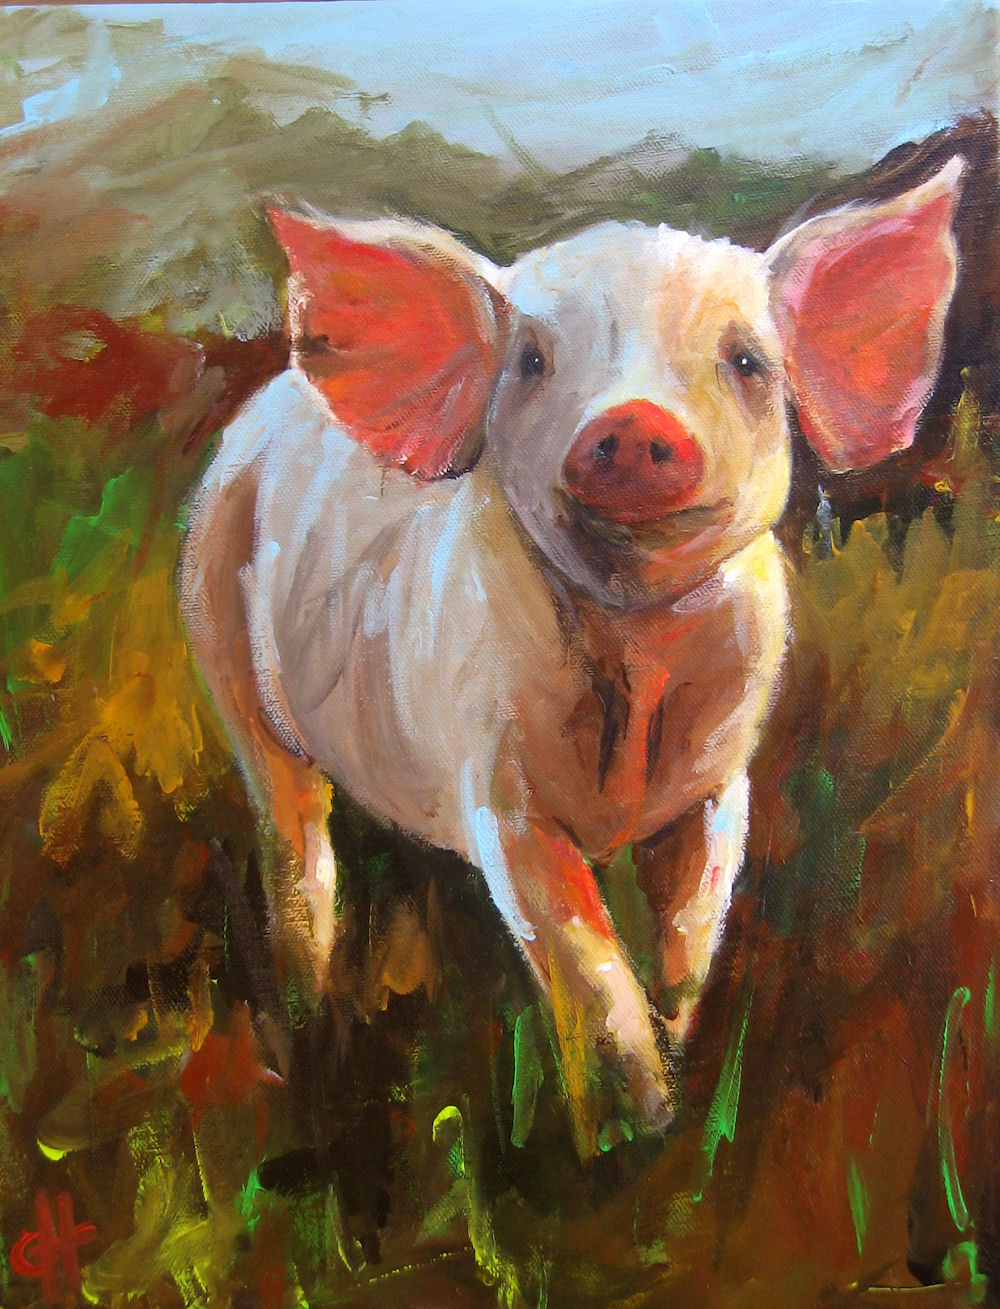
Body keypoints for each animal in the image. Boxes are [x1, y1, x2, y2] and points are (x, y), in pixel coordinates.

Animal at [181, 158, 963, 1137]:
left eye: (746, 360)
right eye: (531, 361)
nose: (632, 423)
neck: (636, 642)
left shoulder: (722, 781)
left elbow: (693, 931)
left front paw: (677, 1086)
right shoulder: (498, 790)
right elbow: (583, 956)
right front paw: (639, 1123)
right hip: (219, 632)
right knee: (296, 836)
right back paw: (308, 1023)